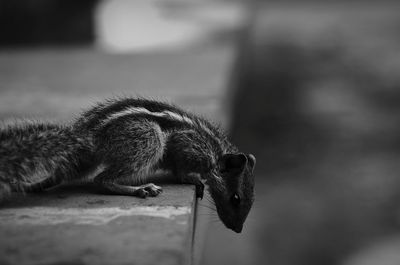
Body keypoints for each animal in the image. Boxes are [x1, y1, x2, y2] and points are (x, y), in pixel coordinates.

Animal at [0, 97, 255, 231]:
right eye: (236, 198)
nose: (238, 229)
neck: (216, 150)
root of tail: (85, 136)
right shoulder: (187, 144)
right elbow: (182, 171)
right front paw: (195, 179)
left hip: (84, 160)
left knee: (66, 174)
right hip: (148, 140)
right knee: (101, 179)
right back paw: (140, 189)